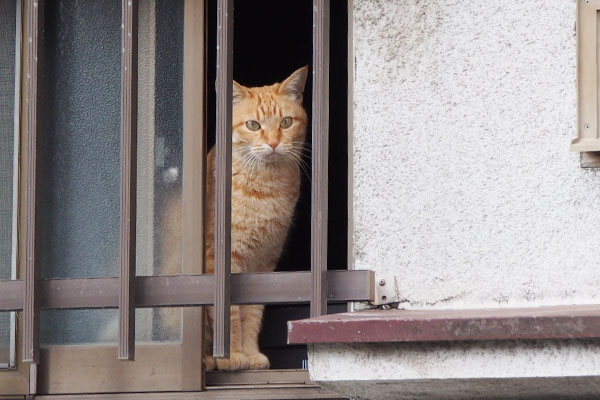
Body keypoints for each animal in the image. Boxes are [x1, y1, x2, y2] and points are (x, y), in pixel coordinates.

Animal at [205, 67, 310, 370]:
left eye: (286, 122)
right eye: (253, 125)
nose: (273, 143)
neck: (266, 190)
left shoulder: (263, 262)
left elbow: (252, 314)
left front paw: (251, 353)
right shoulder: (223, 260)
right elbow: (229, 314)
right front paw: (231, 357)